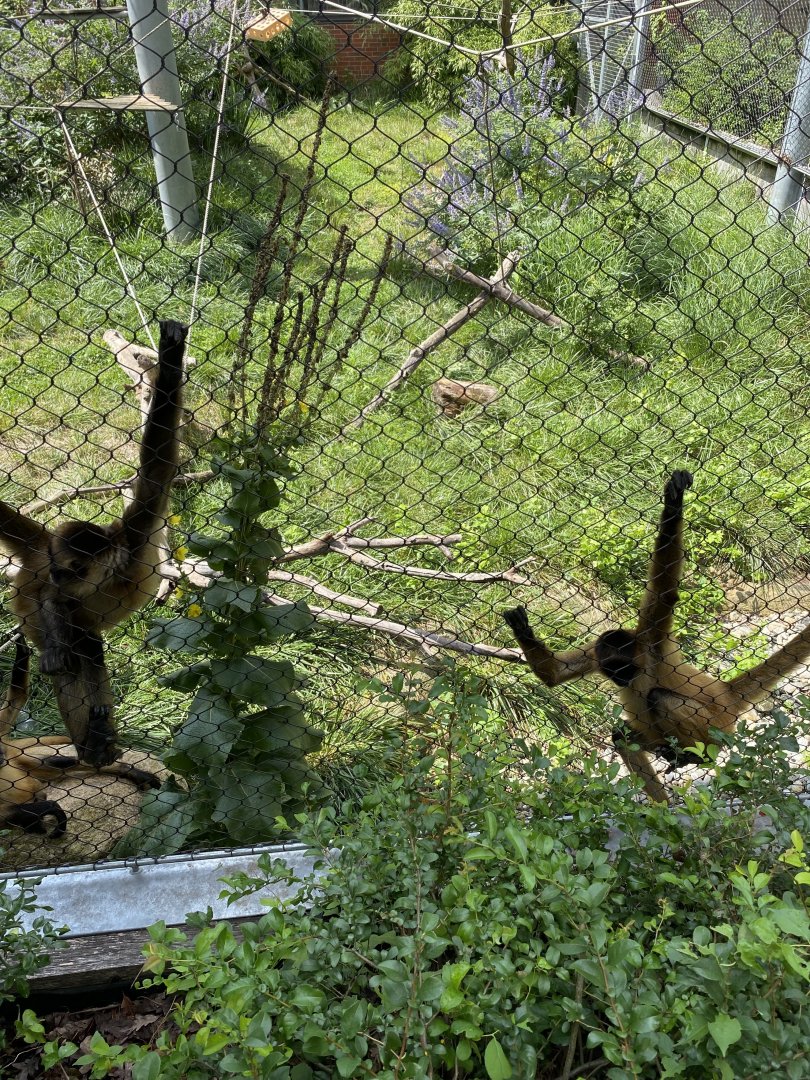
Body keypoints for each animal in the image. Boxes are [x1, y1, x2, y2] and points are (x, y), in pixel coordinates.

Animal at [0, 319, 186, 811]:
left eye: (74, 568)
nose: (55, 572)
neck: (113, 576)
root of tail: (39, 543)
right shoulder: (58, 580)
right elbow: (55, 606)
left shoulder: (138, 531)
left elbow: (156, 465)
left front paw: (171, 355)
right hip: (28, 605)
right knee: (74, 646)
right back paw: (92, 745)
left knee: (87, 645)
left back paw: (99, 742)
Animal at [504, 470, 810, 802]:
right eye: (613, 670)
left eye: (626, 668)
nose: (621, 679)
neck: (640, 655)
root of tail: (724, 693)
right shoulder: (596, 653)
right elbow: (556, 674)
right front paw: (521, 628)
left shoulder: (652, 638)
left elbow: (665, 592)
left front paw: (674, 504)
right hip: (660, 736)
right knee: (622, 735)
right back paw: (660, 804)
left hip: (715, 728)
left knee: (658, 697)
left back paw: (698, 757)